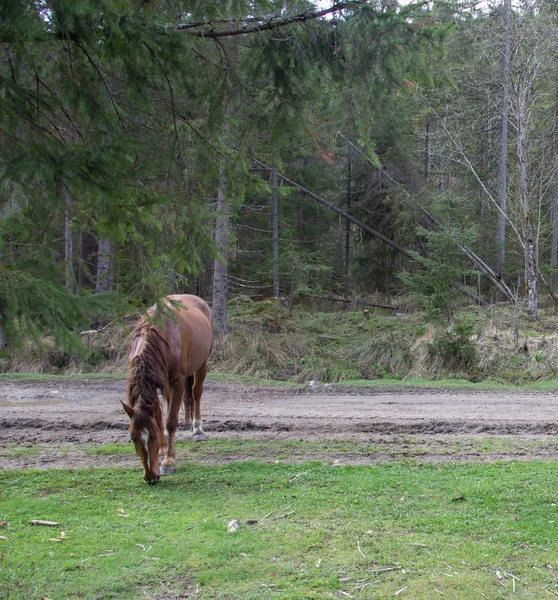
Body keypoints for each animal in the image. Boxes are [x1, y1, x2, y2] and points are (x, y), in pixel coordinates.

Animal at [122, 292, 214, 486]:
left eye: (153, 437)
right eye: (132, 438)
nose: (150, 476)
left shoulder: (177, 381)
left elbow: (170, 422)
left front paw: (169, 461)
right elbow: (160, 417)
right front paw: (164, 450)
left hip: (201, 365)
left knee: (196, 393)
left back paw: (198, 431)